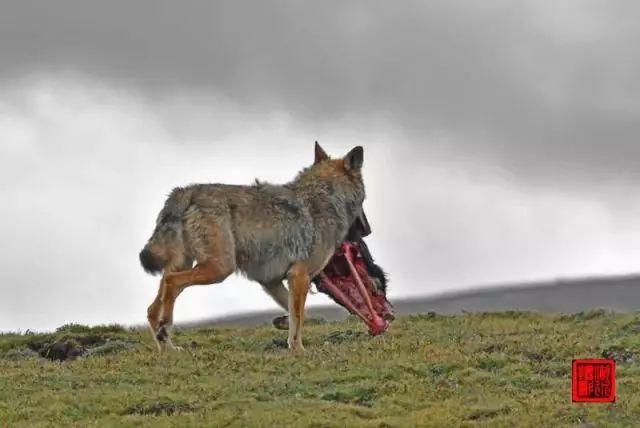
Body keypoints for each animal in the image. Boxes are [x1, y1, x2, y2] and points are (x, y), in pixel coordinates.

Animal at [140, 142, 370, 352]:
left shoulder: (272, 281)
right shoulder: (299, 275)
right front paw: (299, 350)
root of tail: (187, 190)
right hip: (218, 269)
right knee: (171, 283)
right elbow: (299, 316)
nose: (368, 230)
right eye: (364, 203)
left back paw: (167, 348)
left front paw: (283, 325)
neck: (326, 196)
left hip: (187, 264)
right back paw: (165, 329)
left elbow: (299, 313)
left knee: (153, 306)